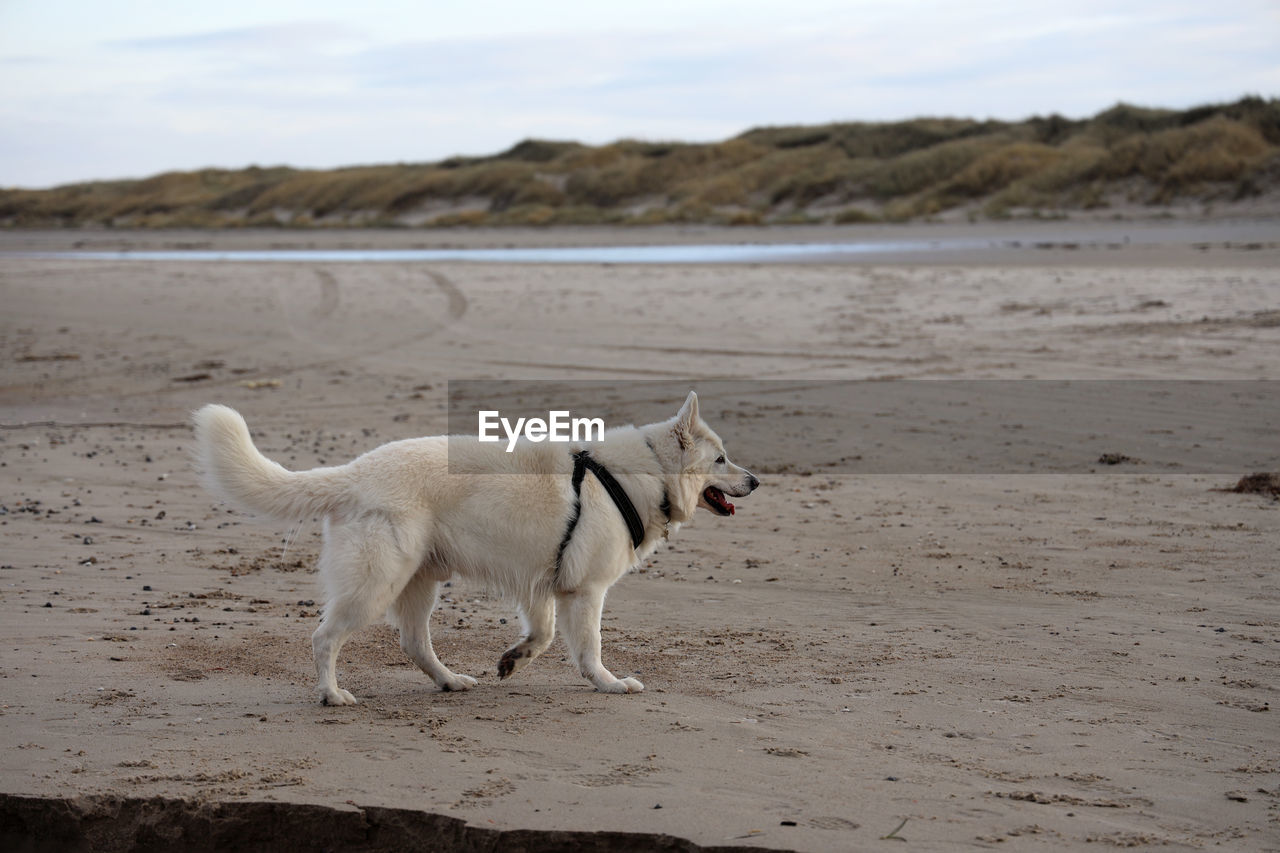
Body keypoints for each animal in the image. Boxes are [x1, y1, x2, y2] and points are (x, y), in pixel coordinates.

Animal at [194, 389, 752, 701]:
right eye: (721, 459)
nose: (757, 481)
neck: (645, 473)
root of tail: (352, 473)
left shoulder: (544, 586)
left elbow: (542, 636)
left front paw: (513, 660)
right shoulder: (587, 591)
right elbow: (589, 649)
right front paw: (610, 684)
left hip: (419, 583)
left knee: (413, 643)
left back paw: (450, 681)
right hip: (377, 583)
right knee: (325, 637)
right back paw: (331, 694)